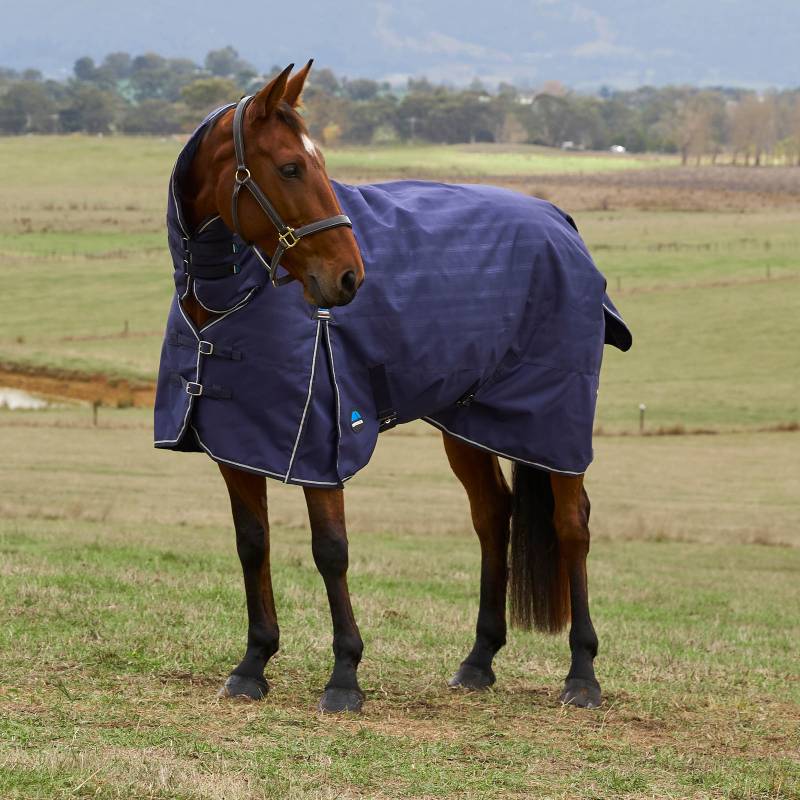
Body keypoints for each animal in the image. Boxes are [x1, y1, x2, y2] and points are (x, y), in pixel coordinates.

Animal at [160, 61, 630, 713]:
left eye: (317, 163)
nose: (348, 277)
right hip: (470, 422)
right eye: (290, 167)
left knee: (571, 525)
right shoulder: (237, 439)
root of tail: (561, 222)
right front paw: (253, 663)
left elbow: (331, 549)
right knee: (494, 516)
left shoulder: (321, 441)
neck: (230, 295)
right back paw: (478, 660)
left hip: (553, 423)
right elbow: (252, 543)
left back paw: (582, 673)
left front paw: (344, 676)